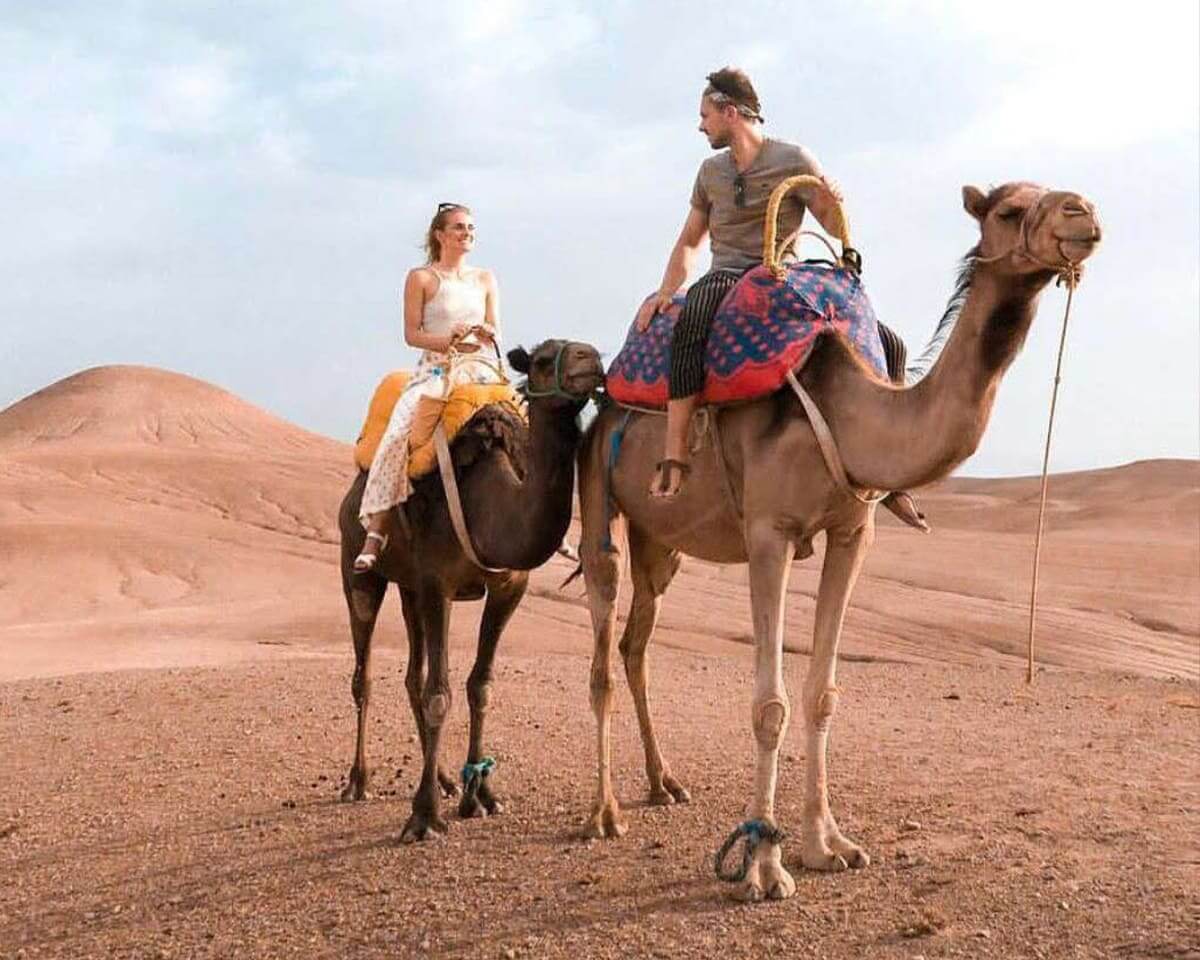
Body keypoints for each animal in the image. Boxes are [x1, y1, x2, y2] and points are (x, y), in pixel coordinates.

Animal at [336, 338, 600, 840]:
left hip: (409, 588)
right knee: (365, 674)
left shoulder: (507, 587)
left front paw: (481, 795)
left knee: (412, 674)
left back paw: (442, 778)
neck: (489, 502)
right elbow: (440, 694)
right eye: (543, 359)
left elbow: (480, 686)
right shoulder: (438, 583)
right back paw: (358, 782)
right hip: (358, 567)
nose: (591, 359)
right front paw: (423, 817)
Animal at [576, 180, 1099, 902]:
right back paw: (604, 812)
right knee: (602, 645)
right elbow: (769, 704)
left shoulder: (854, 532)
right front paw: (763, 866)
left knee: (636, 646)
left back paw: (663, 783)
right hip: (599, 492)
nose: (1084, 215)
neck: (850, 413)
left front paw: (828, 845)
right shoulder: (768, 533)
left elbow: (823, 693)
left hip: (662, 541)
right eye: (1009, 209)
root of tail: (606, 396)